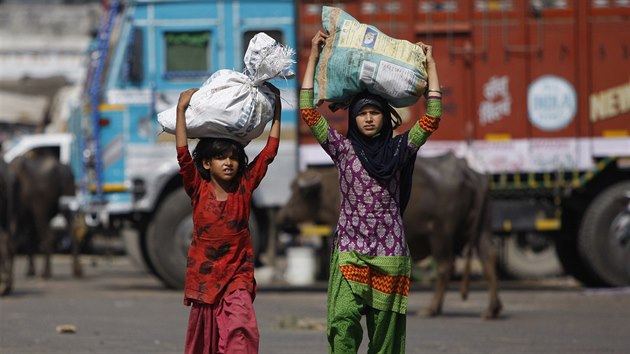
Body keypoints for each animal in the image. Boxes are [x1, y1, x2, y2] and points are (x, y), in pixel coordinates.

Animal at [278, 153, 506, 320]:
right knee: (488, 259)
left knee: (445, 267)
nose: (282, 215)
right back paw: (492, 309)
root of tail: (469, 172)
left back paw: (432, 308)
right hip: (482, 230)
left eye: (296, 192)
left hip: (441, 234)